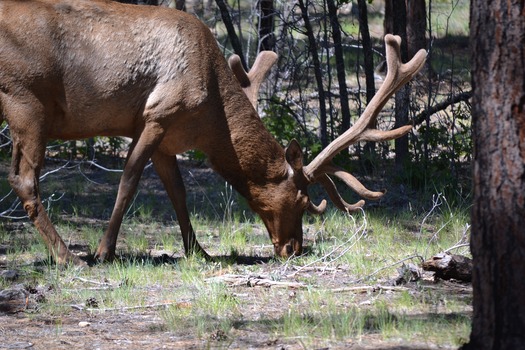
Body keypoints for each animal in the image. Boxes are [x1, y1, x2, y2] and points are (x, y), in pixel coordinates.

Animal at [0, 0, 426, 264]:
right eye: (303, 201)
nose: (294, 248)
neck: (210, 121)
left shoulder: (165, 138)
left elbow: (178, 193)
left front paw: (198, 252)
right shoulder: (156, 114)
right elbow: (129, 182)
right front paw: (104, 252)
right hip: (25, 101)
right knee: (23, 179)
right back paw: (68, 257)